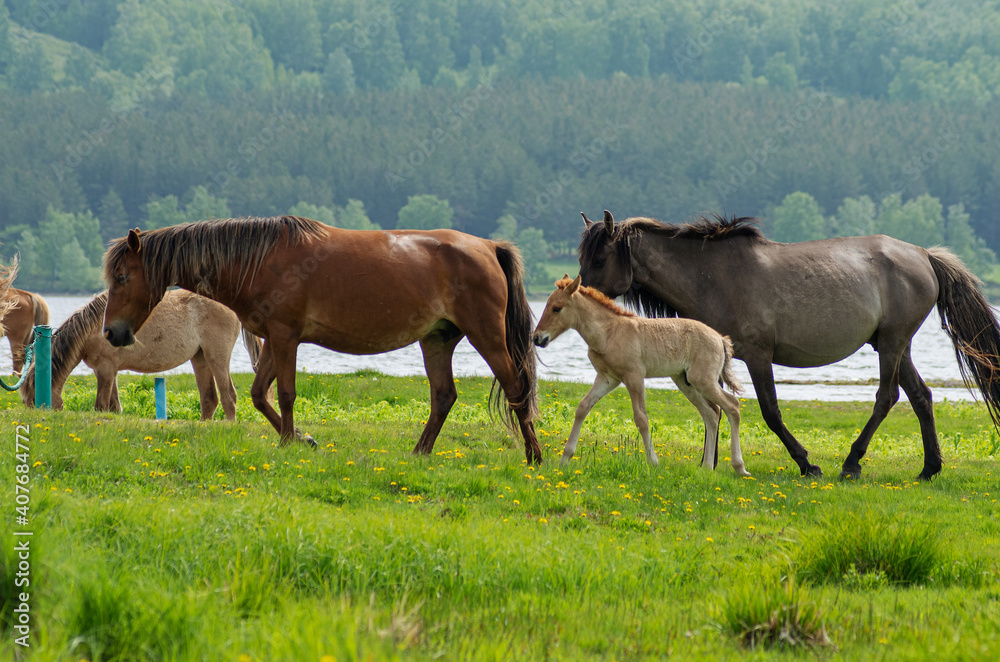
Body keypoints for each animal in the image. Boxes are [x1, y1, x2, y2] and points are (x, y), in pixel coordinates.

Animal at [20, 290, 258, 420]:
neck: (94, 328)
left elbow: (101, 406)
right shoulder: (109, 372)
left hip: (217, 357)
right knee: (209, 399)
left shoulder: (105, 370)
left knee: (229, 397)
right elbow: (114, 408)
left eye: (34, 402)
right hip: (200, 358)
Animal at [98, 215, 544, 464]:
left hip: (487, 335)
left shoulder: (285, 337)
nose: (111, 332)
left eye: (122, 276)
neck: (259, 260)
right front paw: (301, 439)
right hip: (437, 340)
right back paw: (420, 453)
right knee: (444, 396)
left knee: (516, 387)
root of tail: (488, 247)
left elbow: (285, 394)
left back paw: (534, 456)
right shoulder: (274, 339)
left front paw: (288, 442)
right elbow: (260, 395)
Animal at [532, 276, 752, 478]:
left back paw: (739, 467)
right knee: (711, 413)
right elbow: (582, 408)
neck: (609, 333)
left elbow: (641, 418)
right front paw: (564, 459)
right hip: (685, 382)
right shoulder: (607, 379)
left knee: (732, 406)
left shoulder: (634, 376)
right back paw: (706, 467)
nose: (537, 338)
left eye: (557, 308)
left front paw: (653, 462)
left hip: (703, 380)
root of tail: (720, 339)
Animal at [576, 210, 1000, 480]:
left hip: (894, 342)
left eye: (599, 258)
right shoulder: (711, 362)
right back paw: (929, 469)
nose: (575, 294)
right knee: (920, 397)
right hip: (892, 344)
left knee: (887, 396)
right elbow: (715, 410)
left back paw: (851, 463)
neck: (712, 277)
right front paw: (709, 462)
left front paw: (806, 464)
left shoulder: (757, 356)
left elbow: (769, 411)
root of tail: (925, 256)